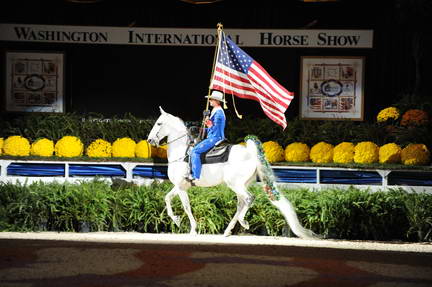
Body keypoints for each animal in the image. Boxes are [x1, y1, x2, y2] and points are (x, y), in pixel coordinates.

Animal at [147, 107, 318, 240]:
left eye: (159, 123)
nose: (149, 140)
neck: (182, 152)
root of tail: (251, 153)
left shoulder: (182, 188)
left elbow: (186, 207)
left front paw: (192, 229)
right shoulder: (180, 186)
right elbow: (167, 198)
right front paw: (176, 220)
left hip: (235, 184)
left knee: (249, 199)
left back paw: (243, 222)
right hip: (239, 185)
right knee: (241, 204)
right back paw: (228, 231)